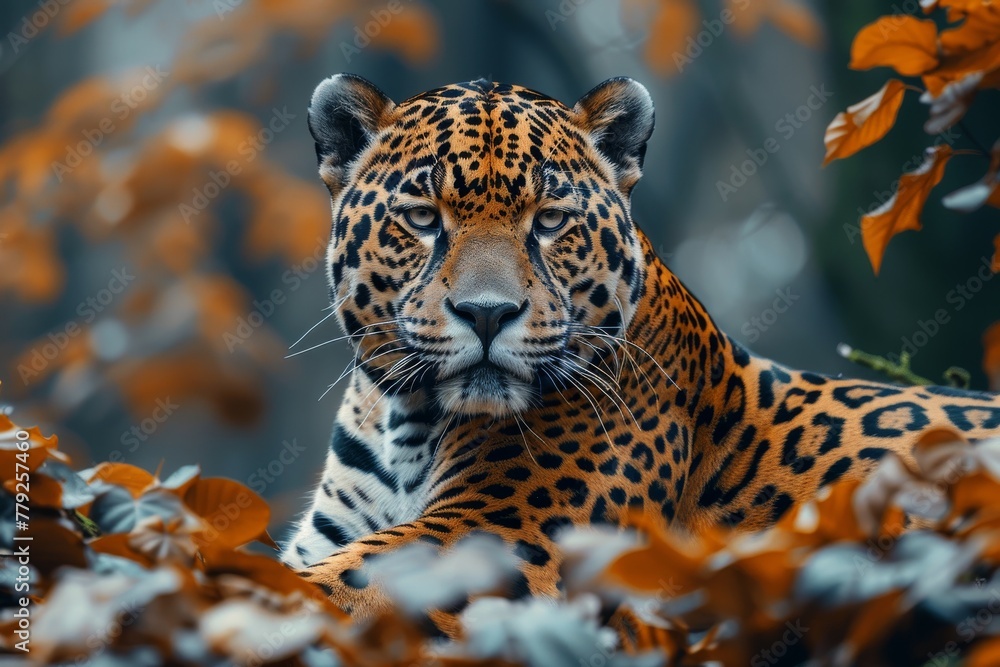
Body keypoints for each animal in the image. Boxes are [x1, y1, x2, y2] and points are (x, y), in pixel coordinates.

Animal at [280, 73, 1000, 634]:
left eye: (550, 220)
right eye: (424, 218)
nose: (488, 313)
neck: (407, 423)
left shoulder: (505, 533)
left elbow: (324, 592)